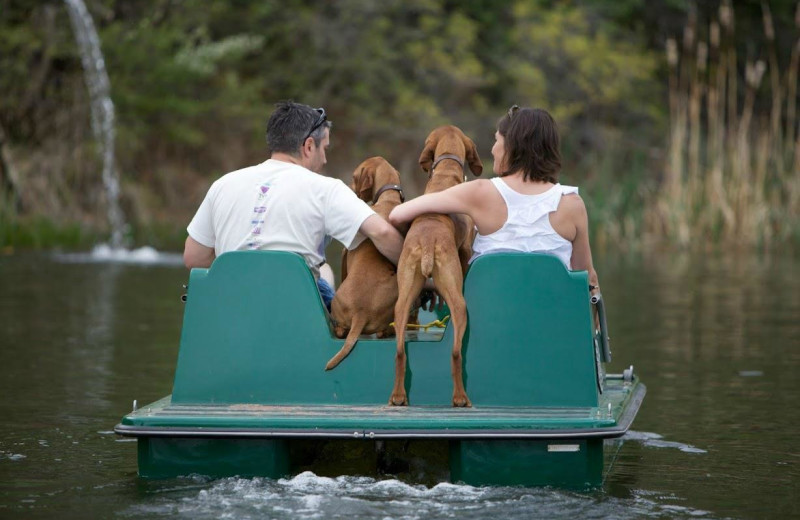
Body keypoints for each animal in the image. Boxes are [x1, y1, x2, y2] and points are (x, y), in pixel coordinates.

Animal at [324, 156, 404, 372]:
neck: (389, 198)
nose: (350, 191)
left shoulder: (345, 253)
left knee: (342, 331)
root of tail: (360, 312)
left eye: (353, 176)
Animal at [388, 126, 482, 406]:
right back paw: (460, 398)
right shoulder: (465, 250)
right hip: (459, 303)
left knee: (399, 352)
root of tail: (428, 243)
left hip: (402, 301)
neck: (445, 172)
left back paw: (398, 397)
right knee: (455, 353)